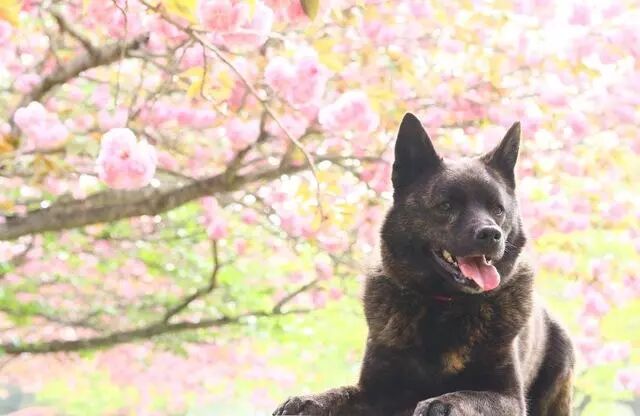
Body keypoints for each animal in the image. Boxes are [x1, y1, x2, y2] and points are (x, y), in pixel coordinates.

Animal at [272, 114, 572, 416]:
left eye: (498, 209)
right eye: (446, 206)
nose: (491, 234)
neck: (444, 303)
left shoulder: (508, 396)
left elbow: (467, 395)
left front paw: (441, 402)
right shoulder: (375, 391)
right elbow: (339, 393)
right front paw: (308, 400)